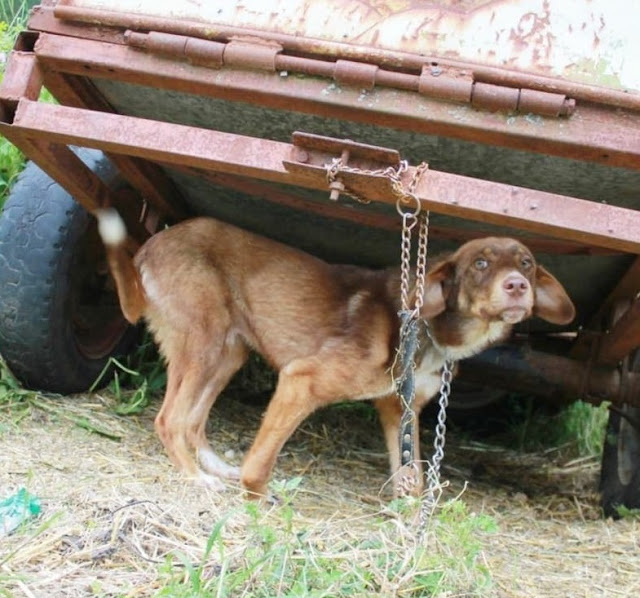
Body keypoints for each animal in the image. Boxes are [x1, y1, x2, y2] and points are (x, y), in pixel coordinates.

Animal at [96, 213, 576, 500]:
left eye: (527, 263)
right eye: (480, 263)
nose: (518, 286)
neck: (427, 330)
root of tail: (147, 248)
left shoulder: (398, 409)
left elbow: (411, 476)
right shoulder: (301, 380)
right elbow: (262, 463)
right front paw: (256, 501)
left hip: (227, 354)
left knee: (192, 421)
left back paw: (214, 468)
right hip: (204, 343)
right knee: (169, 420)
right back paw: (195, 479)